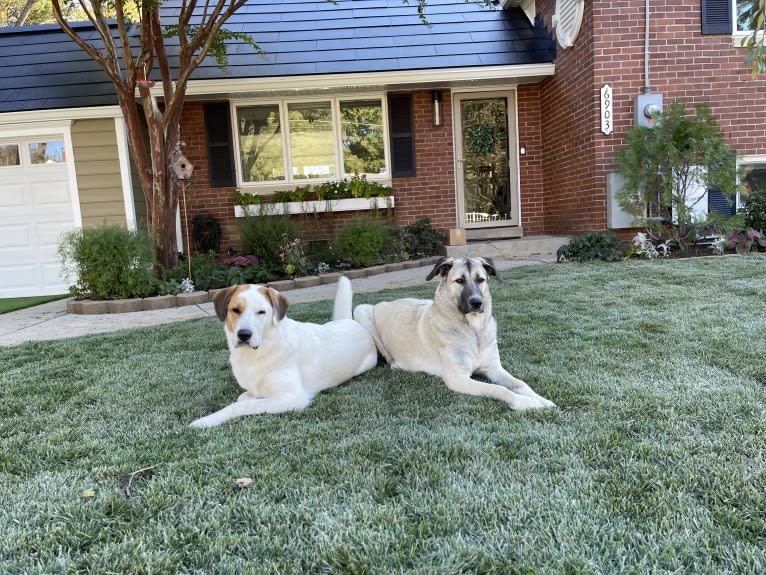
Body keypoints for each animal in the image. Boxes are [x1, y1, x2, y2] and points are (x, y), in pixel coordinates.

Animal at [190, 276, 380, 430]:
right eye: (236, 310)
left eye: (261, 312)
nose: (244, 334)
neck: (257, 353)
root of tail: (350, 321)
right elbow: (243, 398)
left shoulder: (294, 398)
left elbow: (242, 405)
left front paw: (206, 420)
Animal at [354, 258, 560, 412]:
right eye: (459, 281)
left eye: (480, 279)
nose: (476, 302)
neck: (474, 330)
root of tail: (385, 302)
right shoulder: (459, 379)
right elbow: (498, 388)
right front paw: (524, 402)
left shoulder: (494, 368)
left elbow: (519, 383)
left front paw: (541, 398)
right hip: (361, 310)